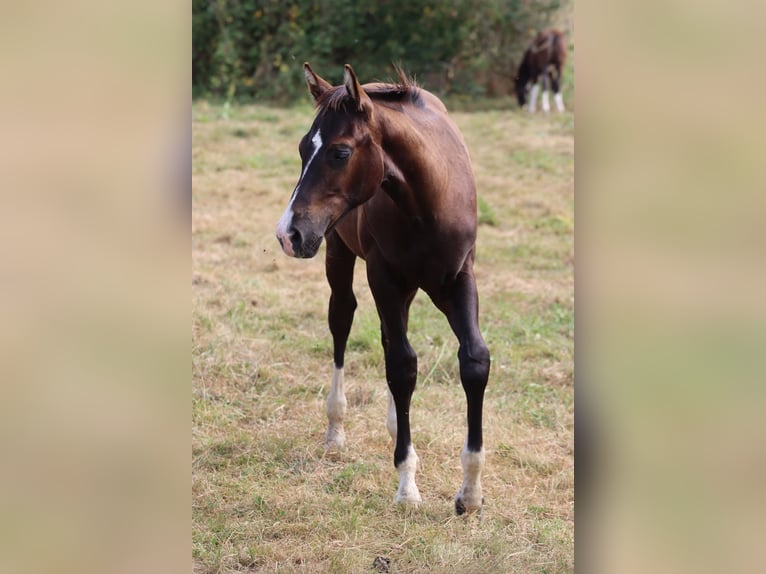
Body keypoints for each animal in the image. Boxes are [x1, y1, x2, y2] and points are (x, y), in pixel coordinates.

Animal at [275, 63, 490, 515]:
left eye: (340, 152)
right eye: (303, 149)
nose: (287, 234)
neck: (427, 204)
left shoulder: (459, 279)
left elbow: (473, 359)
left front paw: (470, 493)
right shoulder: (384, 277)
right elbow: (401, 366)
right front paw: (407, 484)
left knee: (390, 336)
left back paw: (394, 425)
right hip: (338, 252)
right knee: (343, 320)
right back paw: (336, 428)